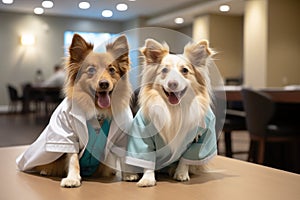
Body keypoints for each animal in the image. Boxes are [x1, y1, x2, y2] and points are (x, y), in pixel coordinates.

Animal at [15, 33, 132, 187]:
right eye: (91, 70)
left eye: (112, 70)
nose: (104, 84)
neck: (97, 111)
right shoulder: (67, 135)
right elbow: (73, 158)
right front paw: (72, 178)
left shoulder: (123, 135)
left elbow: (124, 154)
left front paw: (129, 174)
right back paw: (45, 170)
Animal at [124, 38, 218, 186]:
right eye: (164, 70)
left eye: (185, 70)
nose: (172, 83)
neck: (175, 109)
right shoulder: (141, 135)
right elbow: (146, 159)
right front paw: (147, 179)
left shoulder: (202, 139)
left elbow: (186, 160)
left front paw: (181, 173)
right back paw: (130, 174)